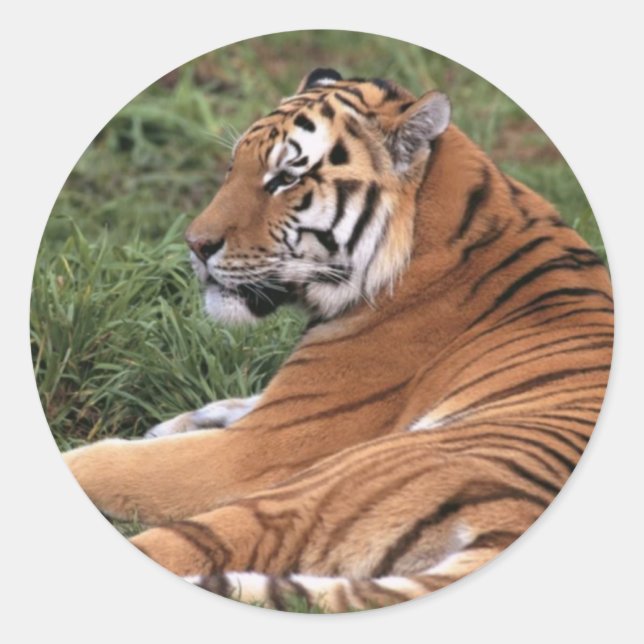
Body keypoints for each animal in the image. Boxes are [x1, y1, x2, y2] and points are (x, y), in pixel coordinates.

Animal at [62, 67, 613, 612]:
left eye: (286, 179)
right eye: (232, 167)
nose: (195, 246)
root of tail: (512, 522)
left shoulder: (256, 449)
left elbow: (115, 464)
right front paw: (184, 420)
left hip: (325, 483)